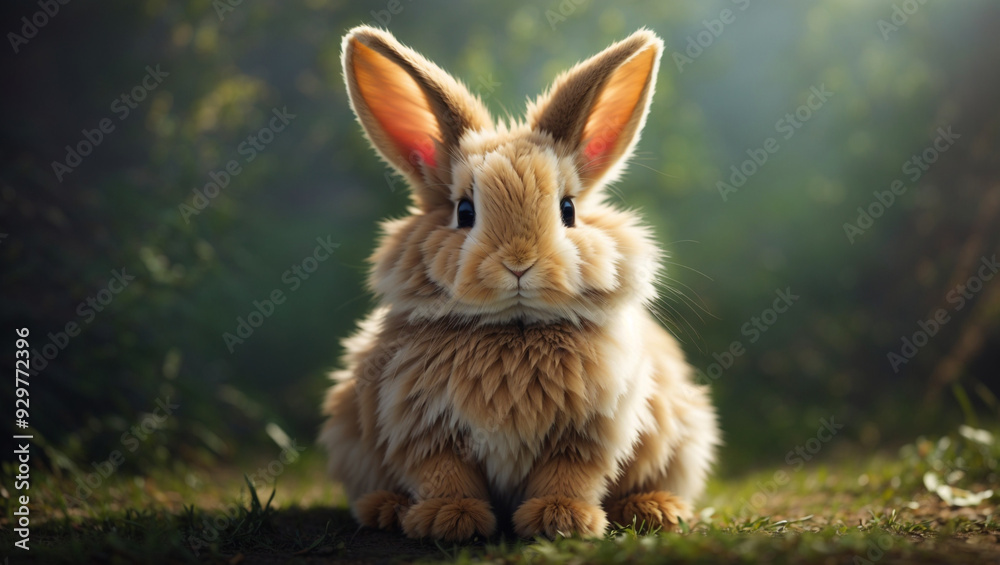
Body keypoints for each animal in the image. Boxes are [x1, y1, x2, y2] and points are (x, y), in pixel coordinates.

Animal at [320, 25, 720, 541]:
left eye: (568, 209)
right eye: (464, 211)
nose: (518, 263)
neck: (515, 327)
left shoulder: (588, 433)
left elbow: (569, 475)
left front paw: (560, 519)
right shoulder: (420, 427)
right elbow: (443, 474)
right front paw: (449, 519)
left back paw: (654, 510)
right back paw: (386, 509)